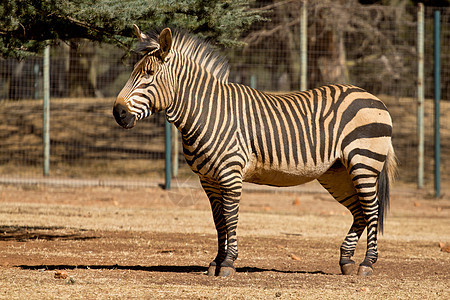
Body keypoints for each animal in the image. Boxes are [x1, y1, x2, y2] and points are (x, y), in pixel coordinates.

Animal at [114, 27, 396, 278]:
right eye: (134, 72)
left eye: (149, 74)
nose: (118, 113)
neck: (207, 112)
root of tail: (373, 97)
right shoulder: (208, 180)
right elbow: (218, 220)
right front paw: (216, 262)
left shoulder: (230, 175)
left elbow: (230, 217)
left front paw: (228, 263)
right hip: (336, 173)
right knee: (359, 212)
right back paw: (346, 261)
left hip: (363, 163)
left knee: (372, 210)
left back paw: (367, 264)